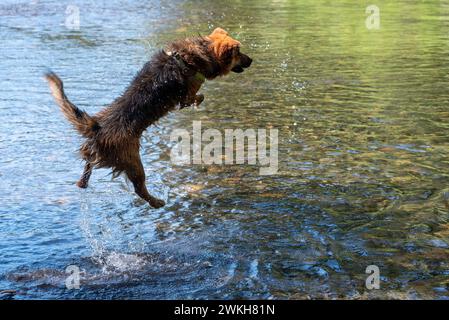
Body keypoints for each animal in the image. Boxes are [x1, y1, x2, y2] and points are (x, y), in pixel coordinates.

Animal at [45, 27, 252, 208]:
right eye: (239, 53)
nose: (251, 60)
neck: (195, 55)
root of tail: (98, 127)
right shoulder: (187, 95)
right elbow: (196, 97)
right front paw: (198, 101)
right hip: (133, 161)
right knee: (139, 188)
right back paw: (156, 202)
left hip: (95, 152)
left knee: (87, 166)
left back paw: (83, 182)